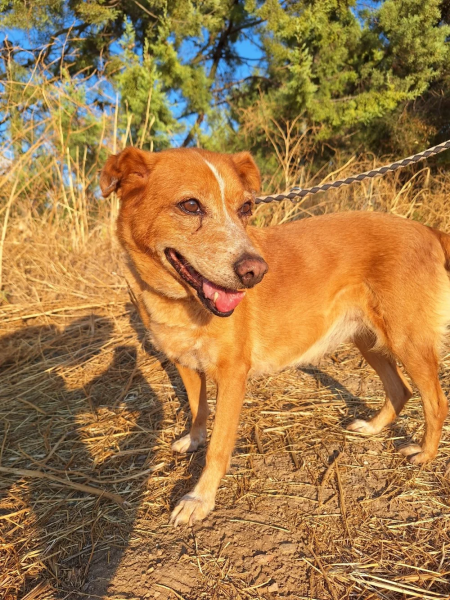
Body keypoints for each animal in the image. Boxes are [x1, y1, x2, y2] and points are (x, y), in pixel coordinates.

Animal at [100, 147, 449, 526]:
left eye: (245, 208)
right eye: (190, 205)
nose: (256, 272)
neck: (178, 302)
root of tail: (429, 231)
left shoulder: (232, 376)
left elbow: (218, 447)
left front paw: (199, 498)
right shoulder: (185, 364)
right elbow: (197, 410)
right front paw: (194, 440)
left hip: (407, 341)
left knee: (436, 401)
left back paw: (425, 454)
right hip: (367, 340)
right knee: (400, 390)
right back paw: (373, 428)